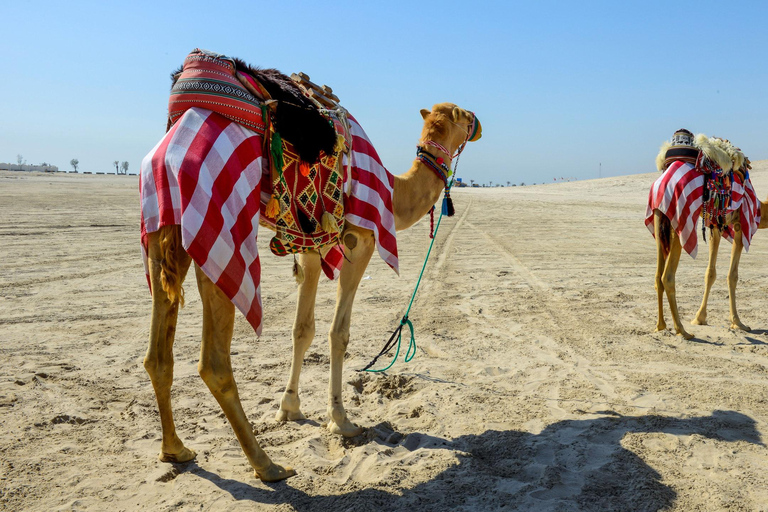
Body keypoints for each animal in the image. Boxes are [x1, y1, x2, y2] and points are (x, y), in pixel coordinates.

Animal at [143, 77, 481, 482]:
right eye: (464, 114)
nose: (479, 123)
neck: (392, 191)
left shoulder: (309, 247)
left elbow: (302, 329)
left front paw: (289, 408)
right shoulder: (359, 240)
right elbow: (339, 332)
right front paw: (341, 421)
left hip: (163, 232)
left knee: (157, 355)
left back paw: (175, 450)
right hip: (218, 235)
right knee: (214, 362)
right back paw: (268, 465)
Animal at [651, 133, 764, 339]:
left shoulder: (714, 225)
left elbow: (710, 272)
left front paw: (700, 318)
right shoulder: (740, 223)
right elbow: (732, 275)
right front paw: (738, 323)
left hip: (658, 219)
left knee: (657, 276)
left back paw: (661, 326)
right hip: (678, 222)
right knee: (667, 277)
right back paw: (682, 331)